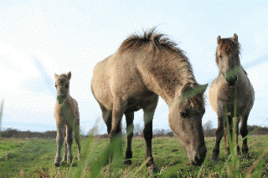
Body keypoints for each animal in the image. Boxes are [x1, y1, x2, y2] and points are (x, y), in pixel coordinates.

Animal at [91, 28, 208, 172]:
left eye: (202, 113)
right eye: (183, 113)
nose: (200, 157)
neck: (138, 69)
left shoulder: (150, 106)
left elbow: (147, 133)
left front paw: (150, 164)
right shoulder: (119, 105)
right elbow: (113, 133)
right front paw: (110, 167)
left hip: (129, 111)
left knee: (129, 132)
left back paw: (127, 159)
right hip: (106, 110)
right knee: (111, 131)